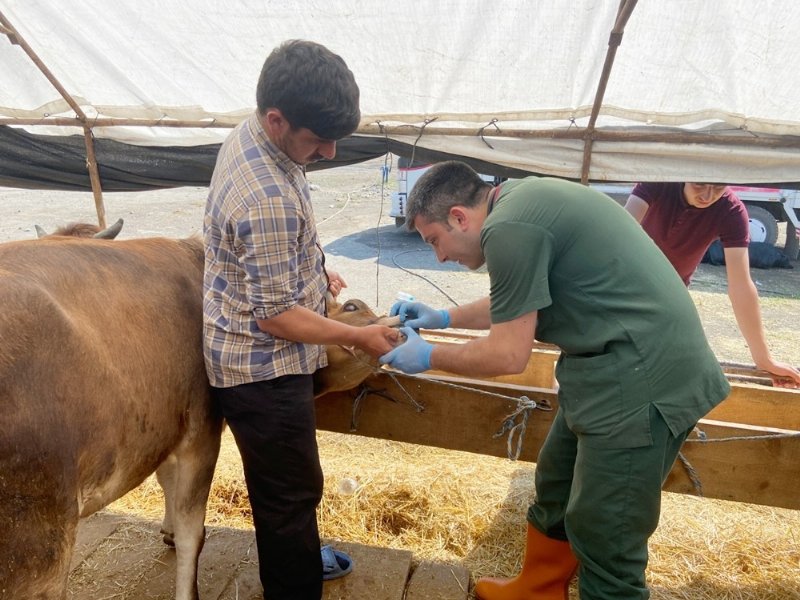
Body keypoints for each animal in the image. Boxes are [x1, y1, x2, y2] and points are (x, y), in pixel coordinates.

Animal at [0, 234, 396, 600]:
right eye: (352, 305)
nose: (390, 328)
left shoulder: (164, 424)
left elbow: (167, 482)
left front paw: (168, 529)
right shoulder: (201, 430)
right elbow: (193, 530)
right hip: (38, 542)